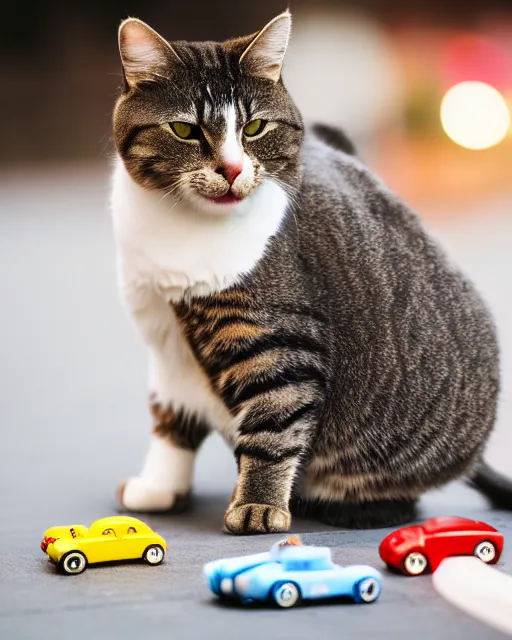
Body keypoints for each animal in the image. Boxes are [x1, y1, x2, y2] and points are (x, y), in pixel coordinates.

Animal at [110, 10, 510, 532]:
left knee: (401, 497)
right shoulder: (165, 348)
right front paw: (159, 488)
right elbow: (170, 421)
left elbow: (273, 427)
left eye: (255, 127)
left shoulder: (279, 339)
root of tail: (476, 455)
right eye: (184, 130)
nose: (232, 169)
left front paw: (258, 506)